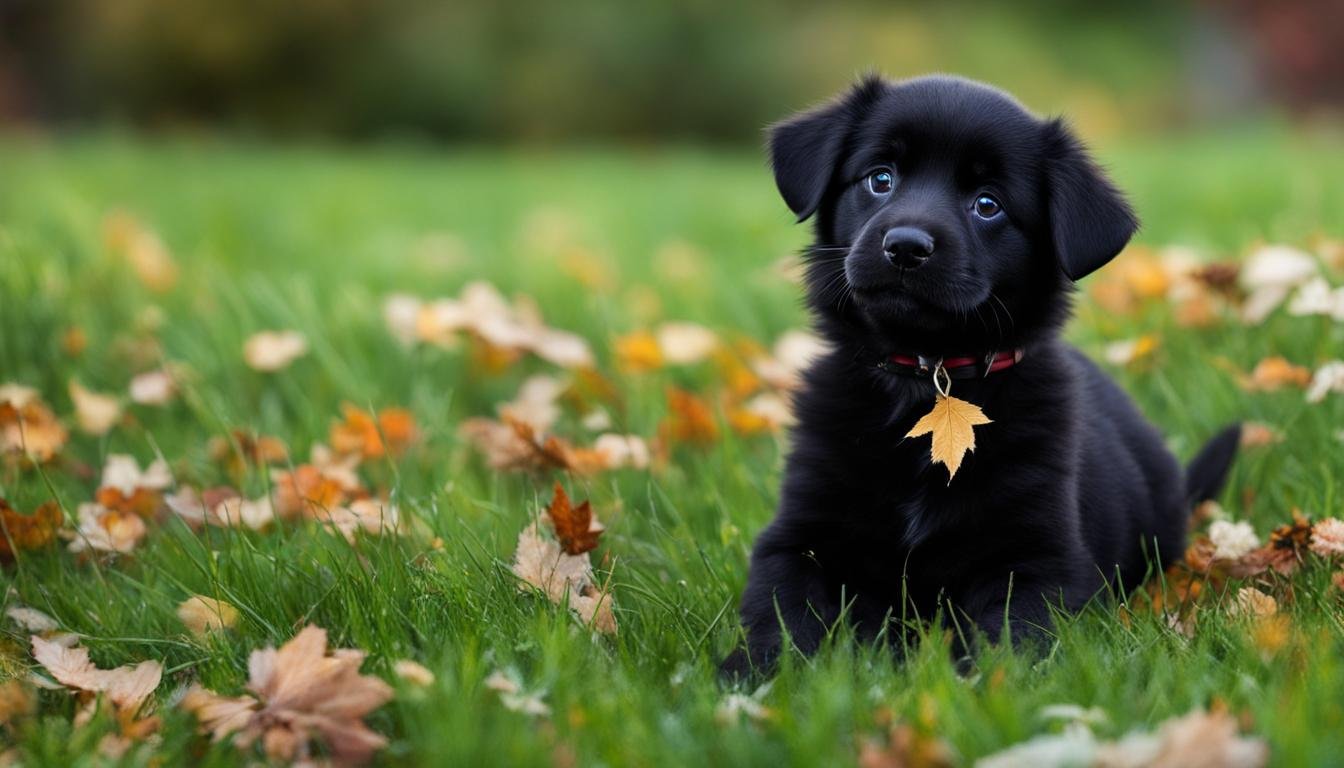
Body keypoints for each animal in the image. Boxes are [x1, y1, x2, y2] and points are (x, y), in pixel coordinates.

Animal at [725, 74, 1236, 675]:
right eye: (880, 178)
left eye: (987, 204)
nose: (905, 246)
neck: (929, 377)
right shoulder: (799, 532)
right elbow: (781, 608)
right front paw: (754, 675)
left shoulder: (1037, 558)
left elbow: (1011, 638)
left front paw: (980, 684)